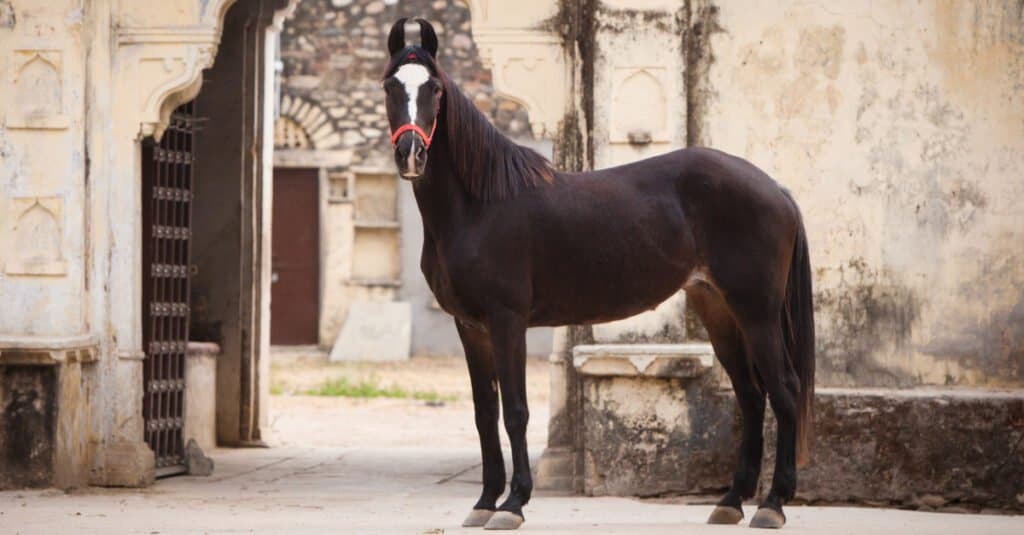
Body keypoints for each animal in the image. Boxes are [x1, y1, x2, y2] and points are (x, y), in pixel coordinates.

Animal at [382, 17, 815, 528]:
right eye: (390, 85)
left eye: (434, 88)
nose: (411, 154)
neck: (478, 205)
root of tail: (775, 189)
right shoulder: (470, 327)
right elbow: (484, 413)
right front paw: (485, 502)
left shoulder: (507, 321)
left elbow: (515, 412)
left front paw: (513, 504)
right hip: (718, 309)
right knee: (750, 394)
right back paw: (730, 502)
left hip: (757, 312)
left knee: (784, 391)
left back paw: (773, 504)